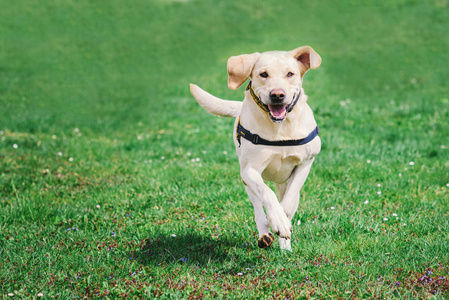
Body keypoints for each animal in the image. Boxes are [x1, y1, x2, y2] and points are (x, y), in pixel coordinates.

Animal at [191, 45, 320, 251]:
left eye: (290, 74)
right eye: (263, 74)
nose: (277, 95)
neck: (280, 129)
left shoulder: (306, 162)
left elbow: (289, 202)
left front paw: (282, 221)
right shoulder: (250, 170)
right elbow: (266, 194)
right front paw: (276, 220)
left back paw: (285, 248)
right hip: (246, 181)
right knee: (258, 206)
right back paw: (265, 233)